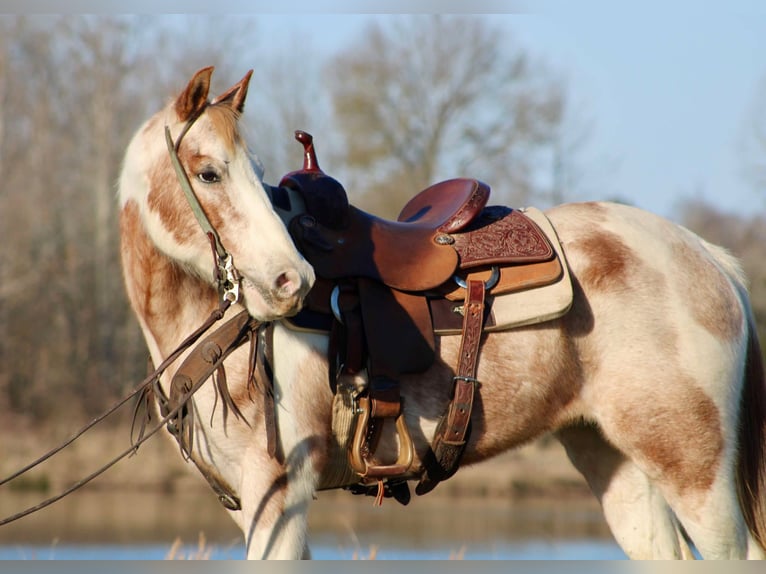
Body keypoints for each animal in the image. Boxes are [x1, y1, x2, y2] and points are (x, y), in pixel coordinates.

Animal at [118, 66, 766, 559]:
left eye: (253, 173)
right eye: (208, 172)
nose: (290, 280)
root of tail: (707, 256)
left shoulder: (280, 494)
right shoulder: (258, 509)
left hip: (695, 471)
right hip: (614, 460)